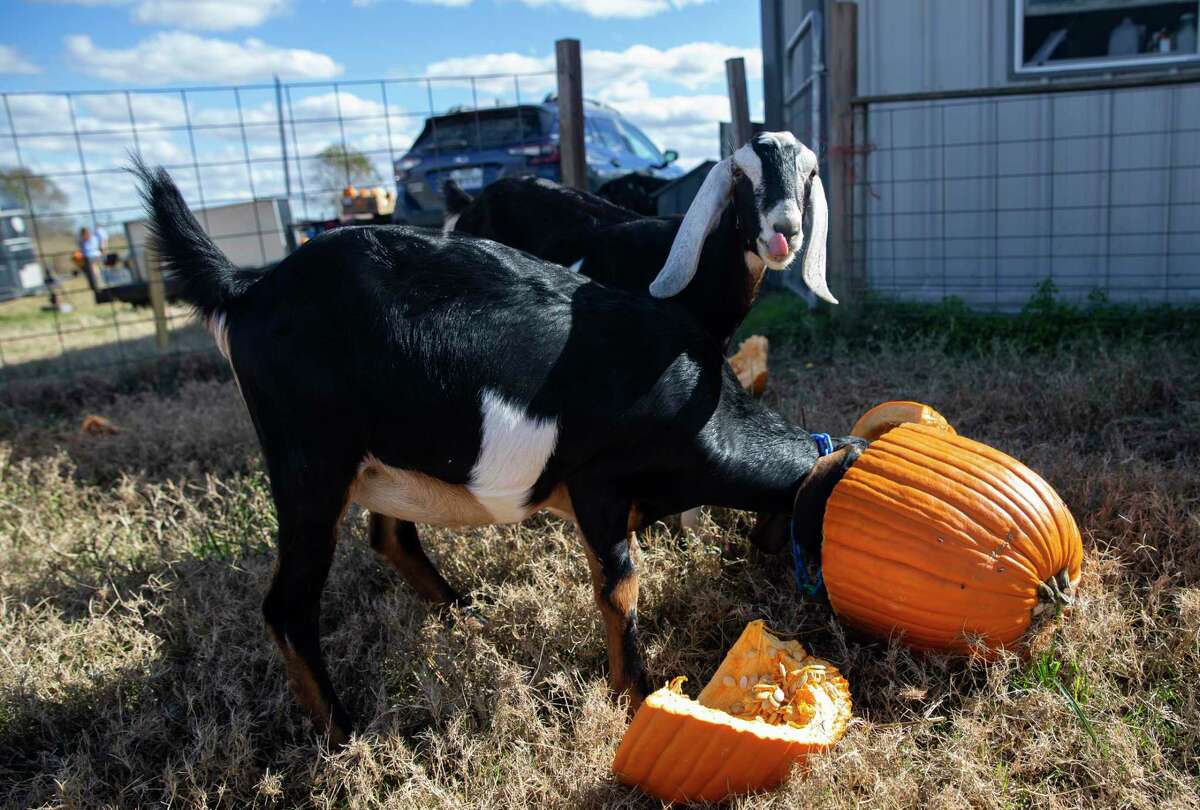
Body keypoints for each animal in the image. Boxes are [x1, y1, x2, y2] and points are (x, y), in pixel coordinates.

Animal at [131, 157, 864, 748]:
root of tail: (246, 288)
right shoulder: (598, 483)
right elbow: (620, 587)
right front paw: (636, 697)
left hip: (395, 454)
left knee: (391, 537)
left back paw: (468, 617)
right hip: (310, 462)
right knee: (287, 606)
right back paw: (346, 739)